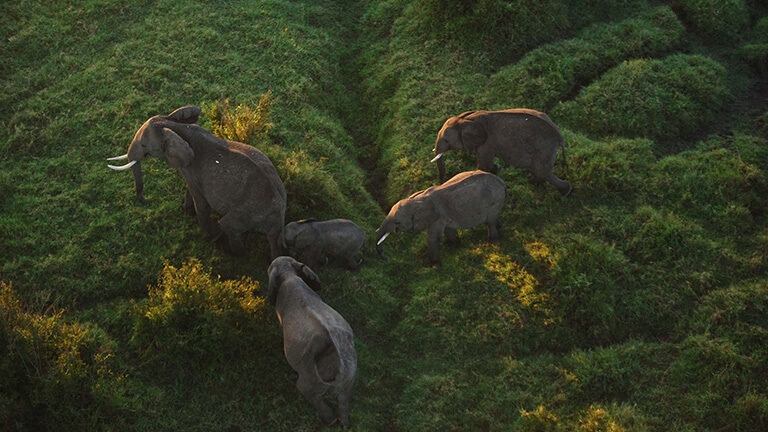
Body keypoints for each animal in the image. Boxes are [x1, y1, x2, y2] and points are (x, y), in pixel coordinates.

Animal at [107, 105, 287, 257]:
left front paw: (213, 237)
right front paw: (184, 210)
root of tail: (280, 213)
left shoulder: (193, 169)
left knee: (228, 225)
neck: (173, 125)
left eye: (144, 145)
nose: (146, 202)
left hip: (249, 213)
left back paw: (233, 253)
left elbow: (200, 202)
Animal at [267, 256, 357, 427]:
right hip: (349, 378)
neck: (289, 275)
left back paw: (330, 420)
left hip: (310, 379)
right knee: (344, 402)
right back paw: (345, 424)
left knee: (311, 395)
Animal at [376, 170, 507, 265]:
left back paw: (493, 241)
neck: (417, 199)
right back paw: (500, 229)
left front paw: (434, 265)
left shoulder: (437, 217)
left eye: (397, 222)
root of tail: (501, 181)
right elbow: (448, 230)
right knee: (491, 220)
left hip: (495, 199)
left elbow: (432, 238)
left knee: (490, 222)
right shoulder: (442, 217)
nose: (386, 258)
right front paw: (455, 246)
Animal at [431, 108, 571, 196]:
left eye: (447, 141)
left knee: (542, 172)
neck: (467, 119)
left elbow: (484, 166)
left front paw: (494, 170)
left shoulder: (487, 143)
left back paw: (565, 192)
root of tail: (561, 138)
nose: (441, 182)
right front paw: (497, 169)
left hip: (544, 148)